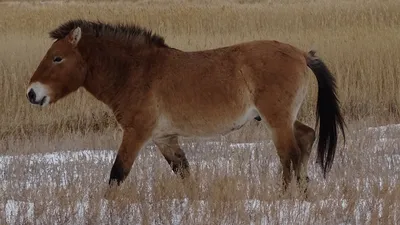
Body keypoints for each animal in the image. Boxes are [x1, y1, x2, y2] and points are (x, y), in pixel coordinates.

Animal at [25, 20, 344, 194]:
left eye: (57, 58)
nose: (32, 94)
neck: (137, 71)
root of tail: (301, 54)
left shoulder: (136, 133)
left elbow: (117, 174)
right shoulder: (165, 139)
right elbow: (184, 174)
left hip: (276, 120)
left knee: (289, 154)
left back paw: (286, 196)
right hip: (282, 118)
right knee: (306, 137)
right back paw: (304, 192)